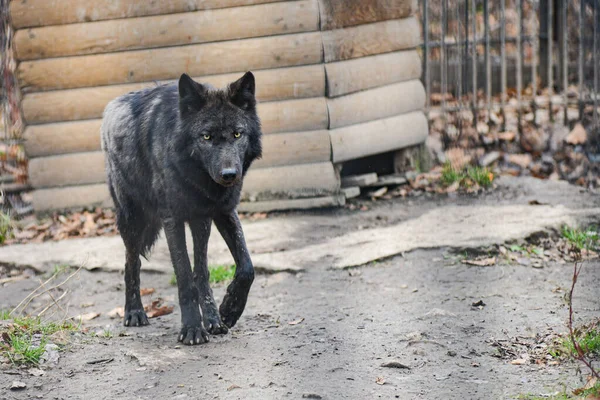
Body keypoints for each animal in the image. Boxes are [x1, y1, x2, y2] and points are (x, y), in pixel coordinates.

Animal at [101, 71, 262, 344]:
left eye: (237, 134)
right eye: (206, 136)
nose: (229, 175)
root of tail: (111, 106)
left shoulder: (221, 211)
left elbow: (243, 268)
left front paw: (227, 311)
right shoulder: (172, 220)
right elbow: (185, 275)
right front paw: (192, 329)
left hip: (198, 222)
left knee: (202, 271)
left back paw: (213, 319)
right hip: (132, 221)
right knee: (132, 263)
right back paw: (134, 312)